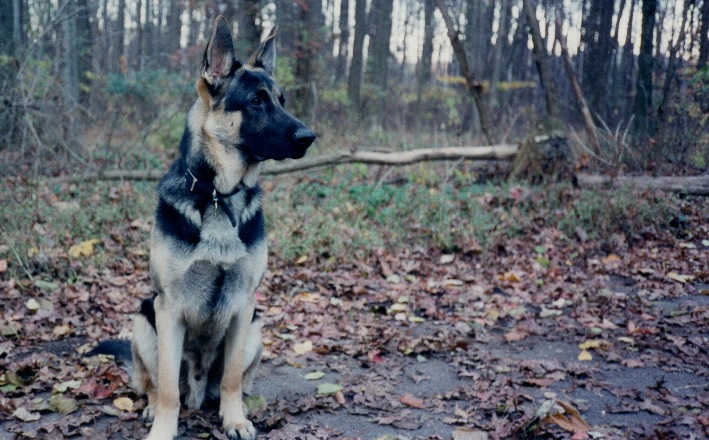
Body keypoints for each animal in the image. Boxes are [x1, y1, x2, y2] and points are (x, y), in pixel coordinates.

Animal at [85, 15, 312, 438]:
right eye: (256, 101)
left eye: (282, 101)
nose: (309, 137)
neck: (218, 195)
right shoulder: (168, 309)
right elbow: (167, 387)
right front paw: (162, 429)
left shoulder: (243, 306)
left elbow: (232, 378)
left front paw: (234, 418)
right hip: (144, 320)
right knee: (154, 384)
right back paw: (151, 407)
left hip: (256, 330)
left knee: (234, 381)